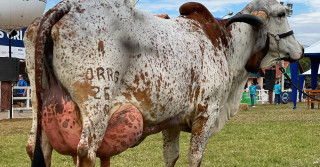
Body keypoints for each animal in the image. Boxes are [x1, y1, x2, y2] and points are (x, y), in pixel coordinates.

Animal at [24, 0, 302, 166]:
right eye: (281, 13)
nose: (300, 49)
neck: (224, 43)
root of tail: (66, 6)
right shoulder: (206, 115)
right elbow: (194, 157)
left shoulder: (172, 122)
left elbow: (171, 156)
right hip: (96, 109)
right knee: (86, 153)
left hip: (39, 106)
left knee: (38, 147)